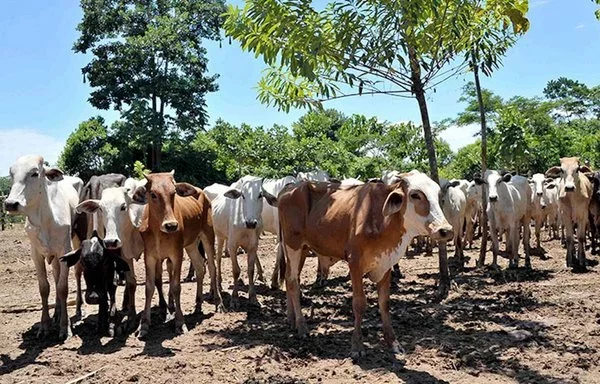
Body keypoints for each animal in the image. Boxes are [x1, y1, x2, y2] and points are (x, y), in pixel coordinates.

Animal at [130, 172, 224, 340]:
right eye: (153, 194)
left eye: (173, 193)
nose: (171, 225)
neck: (159, 232)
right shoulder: (150, 256)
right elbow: (149, 287)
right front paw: (144, 325)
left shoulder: (176, 254)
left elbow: (175, 287)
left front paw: (180, 323)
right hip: (191, 244)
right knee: (199, 267)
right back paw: (198, 304)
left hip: (207, 235)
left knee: (212, 268)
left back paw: (218, 303)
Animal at [211, 176, 276, 308]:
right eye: (243, 195)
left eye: (260, 195)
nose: (251, 223)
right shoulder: (232, 245)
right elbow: (236, 271)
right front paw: (234, 299)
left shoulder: (253, 246)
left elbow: (250, 270)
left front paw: (253, 297)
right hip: (219, 236)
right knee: (218, 257)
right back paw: (219, 284)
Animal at [270, 170, 452, 358]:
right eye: (415, 195)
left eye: (439, 195)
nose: (445, 230)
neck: (380, 218)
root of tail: (289, 189)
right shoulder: (355, 263)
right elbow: (359, 303)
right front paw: (357, 346)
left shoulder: (385, 263)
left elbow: (384, 303)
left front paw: (393, 343)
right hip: (293, 245)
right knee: (292, 282)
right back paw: (302, 327)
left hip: (302, 249)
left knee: (291, 278)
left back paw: (291, 320)